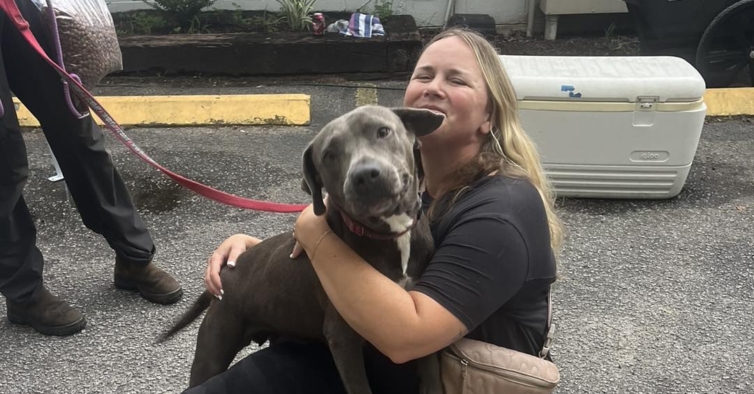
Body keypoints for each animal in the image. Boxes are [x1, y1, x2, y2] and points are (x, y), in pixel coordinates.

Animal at [158, 105, 440, 394]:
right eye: (329, 155)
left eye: (383, 131)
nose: (364, 175)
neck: (390, 233)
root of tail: (225, 271)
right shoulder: (342, 338)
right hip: (214, 349)